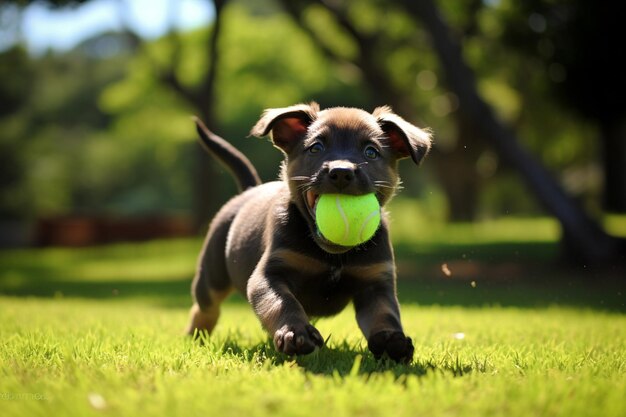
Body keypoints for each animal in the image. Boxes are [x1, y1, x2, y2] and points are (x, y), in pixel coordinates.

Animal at [186, 102, 428, 362]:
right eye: (316, 148)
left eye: (371, 152)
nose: (341, 172)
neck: (334, 255)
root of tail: (249, 190)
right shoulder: (269, 275)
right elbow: (283, 303)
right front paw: (295, 333)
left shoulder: (375, 283)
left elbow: (384, 315)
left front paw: (391, 340)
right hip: (212, 275)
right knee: (205, 308)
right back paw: (195, 336)